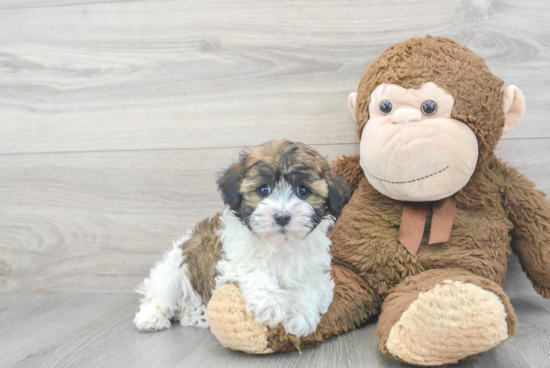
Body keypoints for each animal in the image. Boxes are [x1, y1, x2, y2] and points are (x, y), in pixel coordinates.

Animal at [135, 139, 350, 338]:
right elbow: (254, 271)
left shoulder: (316, 271)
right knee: (161, 295)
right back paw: (151, 317)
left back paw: (197, 315)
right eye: (264, 189)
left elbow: (310, 286)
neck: (279, 246)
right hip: (176, 268)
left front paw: (300, 316)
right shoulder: (229, 262)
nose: (282, 217)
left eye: (303, 191)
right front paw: (271, 305)